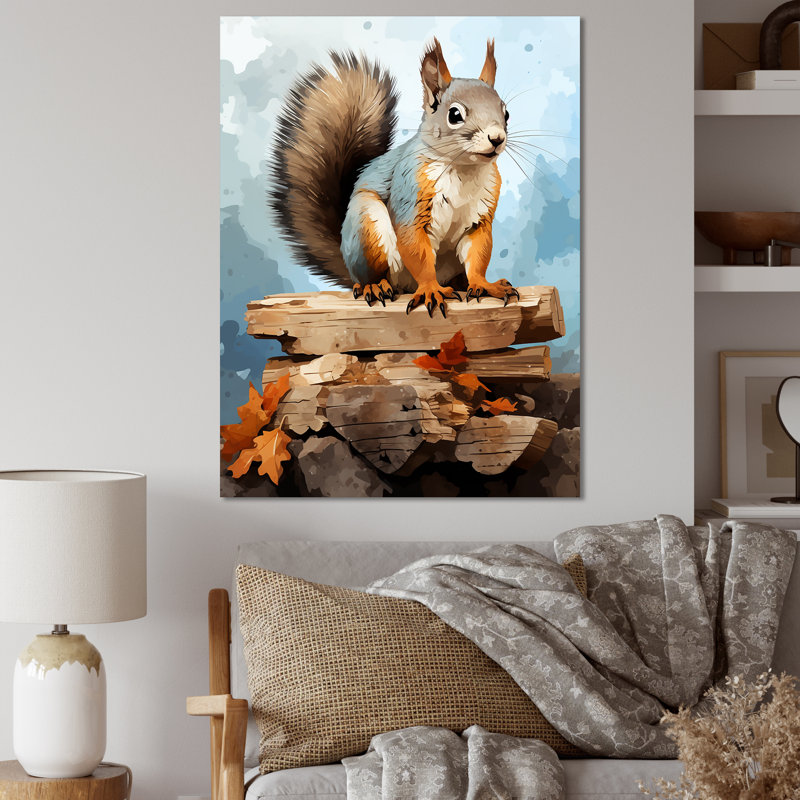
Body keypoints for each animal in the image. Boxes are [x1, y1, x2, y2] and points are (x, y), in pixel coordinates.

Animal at [269, 37, 519, 318]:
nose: (496, 138)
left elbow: (477, 255)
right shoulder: (411, 196)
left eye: (506, 113)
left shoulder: (480, 218)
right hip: (367, 227)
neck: (463, 169)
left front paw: (484, 285)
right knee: (370, 276)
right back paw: (376, 286)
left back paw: (460, 283)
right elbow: (417, 251)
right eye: (454, 115)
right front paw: (431, 289)